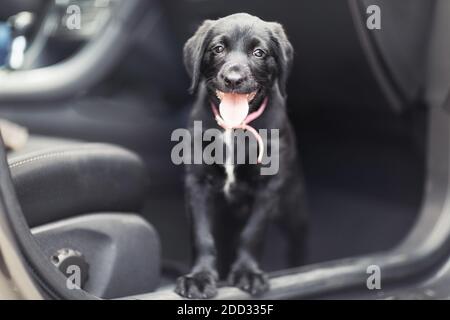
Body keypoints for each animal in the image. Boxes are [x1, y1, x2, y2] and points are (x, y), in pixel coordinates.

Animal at [175, 13, 306, 298]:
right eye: (217, 49)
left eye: (259, 53)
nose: (233, 79)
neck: (233, 128)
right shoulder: (197, 183)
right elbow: (201, 235)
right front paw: (199, 277)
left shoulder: (268, 187)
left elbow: (253, 233)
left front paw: (248, 273)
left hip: (292, 208)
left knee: (298, 239)